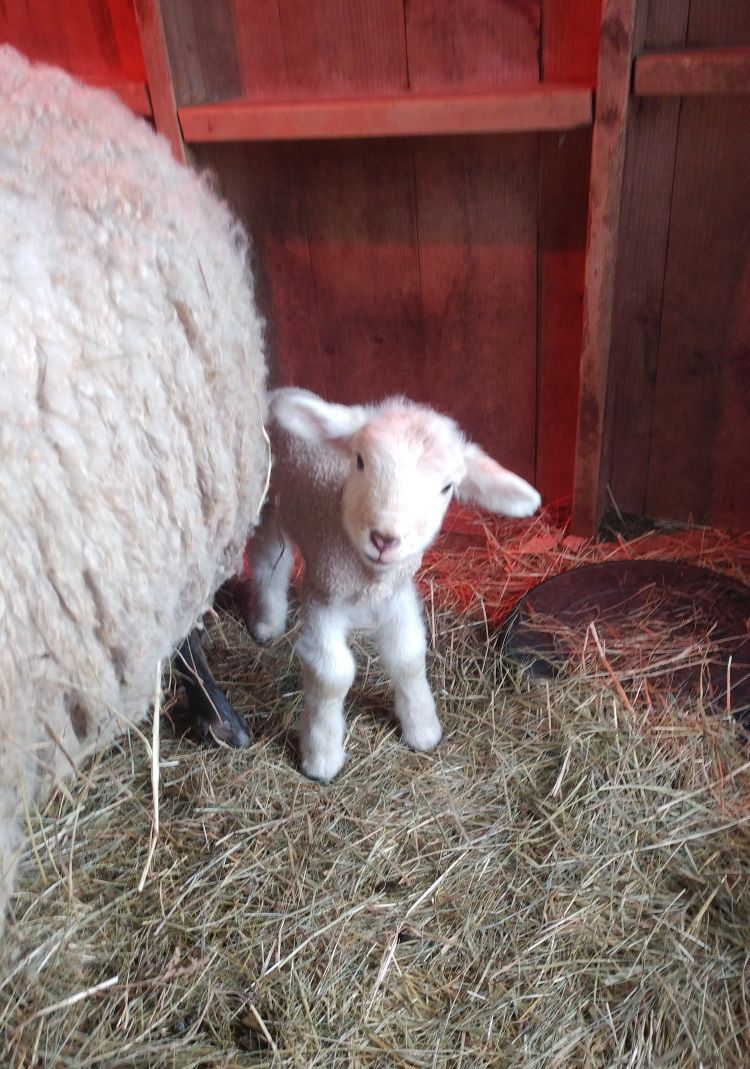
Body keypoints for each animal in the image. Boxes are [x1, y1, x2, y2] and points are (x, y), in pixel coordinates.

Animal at [247, 388, 541, 781]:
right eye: (359, 460)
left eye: (447, 487)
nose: (384, 539)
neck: (368, 576)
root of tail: (283, 392)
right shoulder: (324, 595)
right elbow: (332, 676)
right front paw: (321, 756)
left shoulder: (397, 595)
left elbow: (408, 657)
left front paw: (423, 730)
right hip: (267, 501)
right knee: (269, 560)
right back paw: (267, 622)